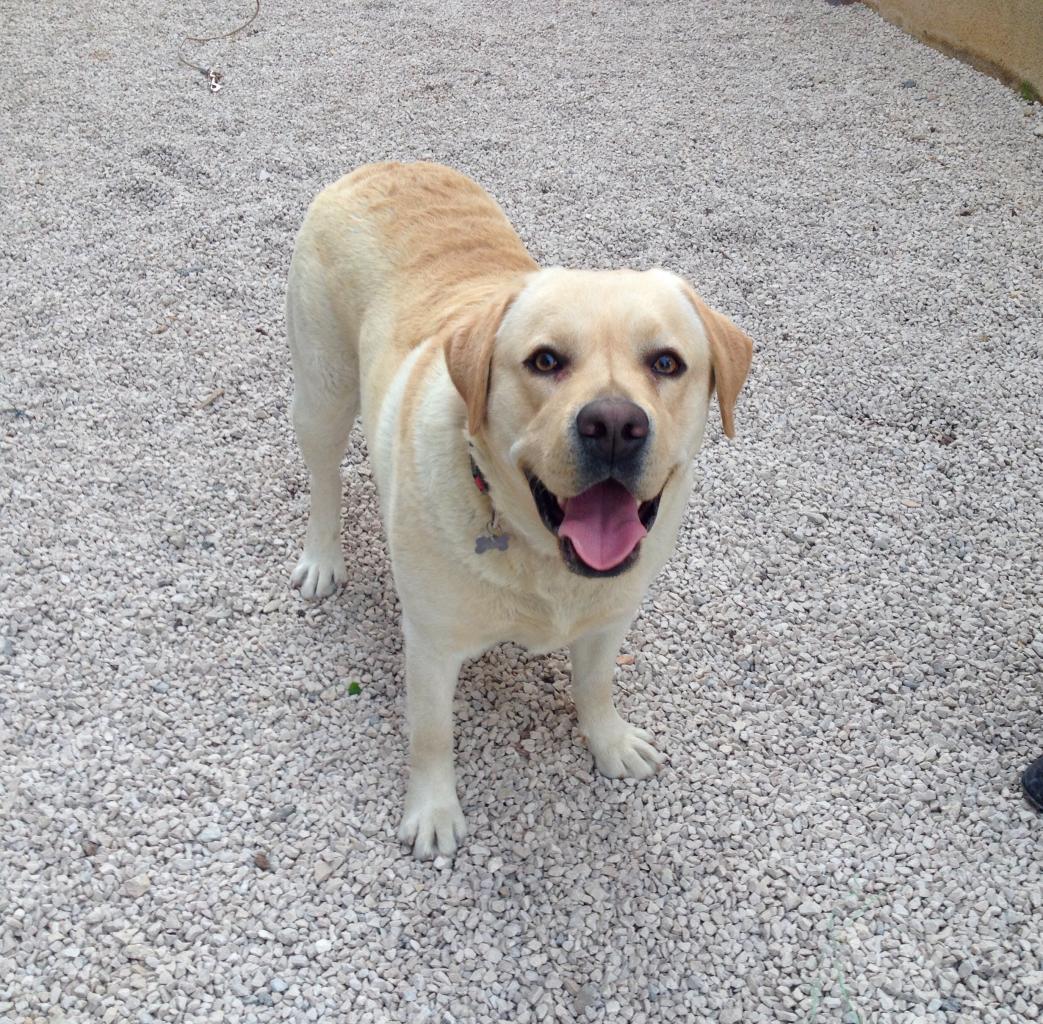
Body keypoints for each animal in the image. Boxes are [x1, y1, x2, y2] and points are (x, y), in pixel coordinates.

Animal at [287, 164, 750, 863]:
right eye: (546, 360)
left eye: (667, 363)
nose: (614, 425)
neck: (545, 560)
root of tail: (384, 165)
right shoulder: (431, 643)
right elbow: (431, 733)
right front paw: (434, 813)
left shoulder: (610, 617)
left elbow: (595, 686)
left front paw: (611, 743)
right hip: (323, 391)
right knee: (323, 481)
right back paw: (321, 559)